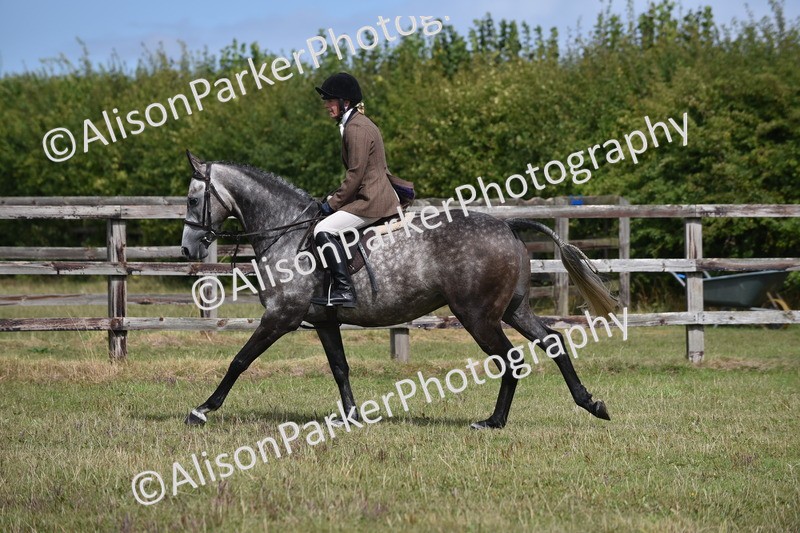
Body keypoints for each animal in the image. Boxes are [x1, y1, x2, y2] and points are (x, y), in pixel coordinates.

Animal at [180, 151, 616, 429]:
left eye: (193, 199)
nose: (188, 250)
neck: (285, 233)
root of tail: (508, 226)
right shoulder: (324, 322)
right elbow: (340, 368)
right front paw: (352, 417)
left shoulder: (280, 317)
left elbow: (239, 361)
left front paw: (202, 410)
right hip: (513, 310)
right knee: (553, 341)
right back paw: (590, 403)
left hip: (478, 316)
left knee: (511, 359)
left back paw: (494, 422)